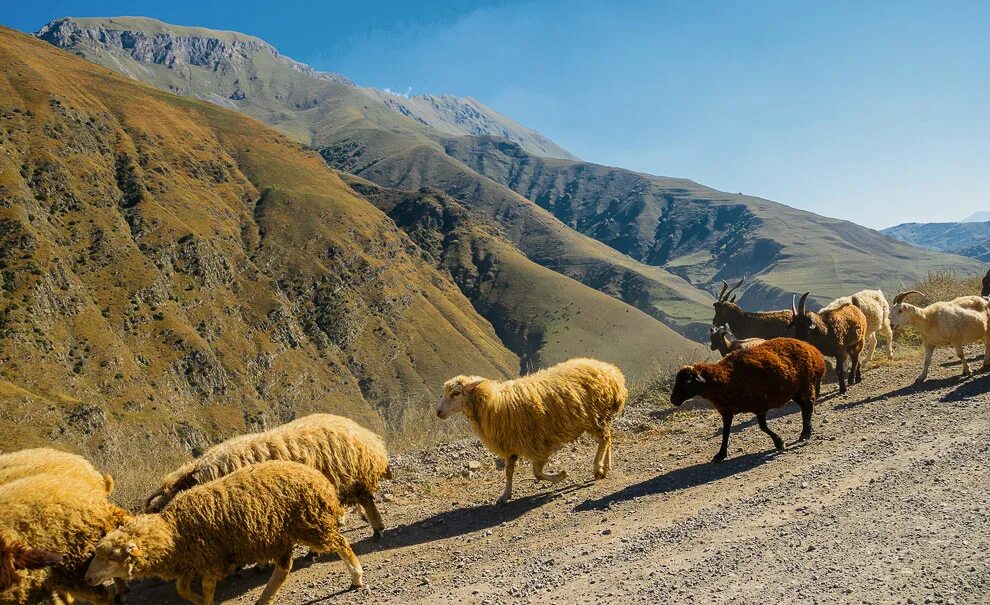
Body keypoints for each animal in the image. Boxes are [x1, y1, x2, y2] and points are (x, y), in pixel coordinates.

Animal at [84, 460, 364, 600]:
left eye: (112, 557)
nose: (87, 578)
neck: (173, 531)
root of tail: (316, 475)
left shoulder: (209, 561)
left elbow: (207, 588)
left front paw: (205, 602)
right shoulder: (192, 562)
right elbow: (182, 589)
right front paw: (197, 601)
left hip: (311, 523)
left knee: (339, 543)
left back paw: (356, 576)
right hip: (278, 535)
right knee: (284, 568)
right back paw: (264, 598)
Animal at [440, 356, 628, 502]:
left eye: (456, 393)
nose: (438, 412)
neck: (493, 402)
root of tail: (612, 372)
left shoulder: (538, 444)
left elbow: (536, 472)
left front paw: (560, 475)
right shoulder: (511, 445)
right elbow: (509, 472)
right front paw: (505, 495)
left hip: (595, 416)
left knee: (604, 440)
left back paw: (598, 469)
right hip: (599, 417)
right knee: (608, 439)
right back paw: (606, 465)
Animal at [672, 336, 824, 462]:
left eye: (687, 381)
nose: (673, 400)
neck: (725, 377)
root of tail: (811, 349)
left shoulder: (759, 405)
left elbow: (763, 427)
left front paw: (779, 442)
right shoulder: (727, 411)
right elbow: (725, 432)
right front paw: (721, 455)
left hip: (806, 383)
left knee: (809, 405)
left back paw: (806, 433)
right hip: (794, 390)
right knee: (804, 407)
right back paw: (805, 432)